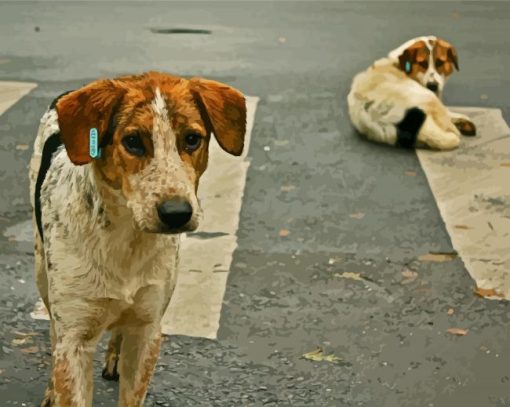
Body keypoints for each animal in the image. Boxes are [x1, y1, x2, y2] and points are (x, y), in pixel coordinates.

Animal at [27, 71, 247, 406]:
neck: (126, 239)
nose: (176, 213)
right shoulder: (75, 337)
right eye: (132, 141)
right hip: (43, 272)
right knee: (53, 329)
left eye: (192, 139)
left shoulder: (147, 330)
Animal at [348, 35, 476, 151]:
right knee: (448, 124)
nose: (432, 85)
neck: (398, 64)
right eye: (422, 63)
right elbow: (448, 113)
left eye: (440, 63)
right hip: (427, 97)